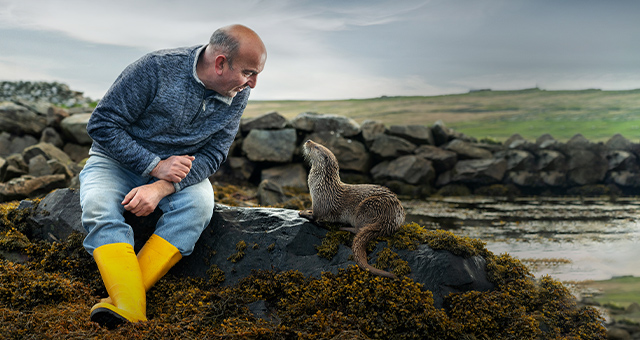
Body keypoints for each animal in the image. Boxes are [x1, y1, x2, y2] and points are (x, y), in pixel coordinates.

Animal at [298, 139, 404, 278]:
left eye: (316, 146)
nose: (308, 140)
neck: (321, 185)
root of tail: (392, 218)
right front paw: (306, 210)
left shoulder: (321, 203)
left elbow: (316, 216)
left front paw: (304, 212)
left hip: (367, 207)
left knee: (359, 229)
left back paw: (345, 227)